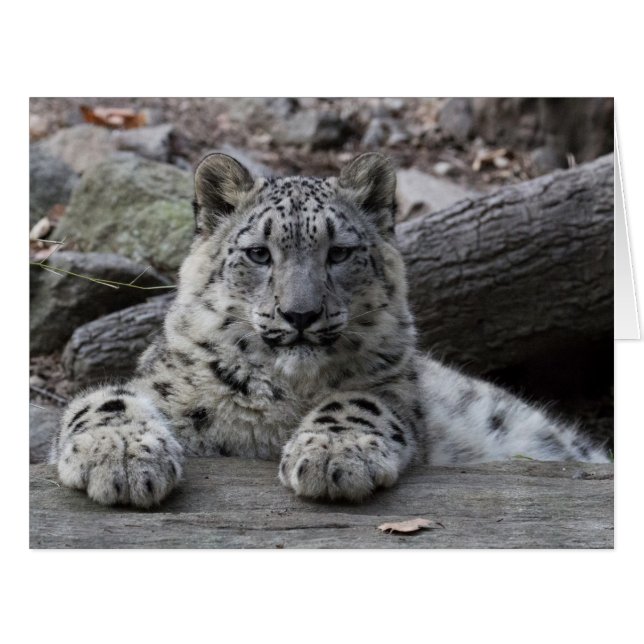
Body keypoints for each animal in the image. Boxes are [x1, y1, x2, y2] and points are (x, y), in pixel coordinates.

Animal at [48, 152, 610, 508]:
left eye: (339, 252)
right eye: (259, 253)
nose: (300, 314)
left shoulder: (397, 389)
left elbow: (360, 401)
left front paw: (334, 456)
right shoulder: (160, 384)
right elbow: (103, 400)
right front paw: (121, 460)